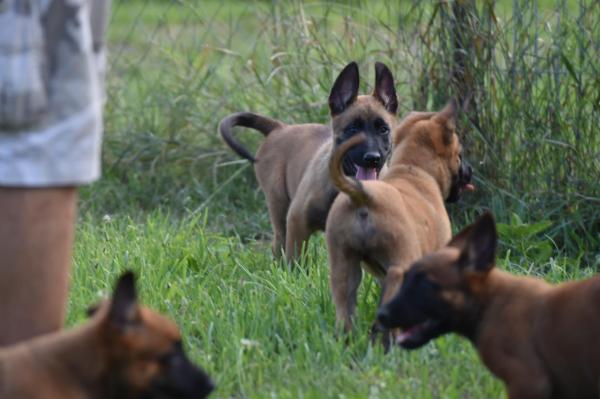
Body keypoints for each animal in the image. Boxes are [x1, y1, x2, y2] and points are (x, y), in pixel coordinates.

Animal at [220, 62, 398, 260]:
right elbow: (295, 260)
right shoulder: (297, 221)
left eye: (383, 129)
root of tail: (279, 128)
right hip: (279, 206)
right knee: (279, 244)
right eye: (352, 129)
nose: (372, 158)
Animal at [324, 101, 474, 332]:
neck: (413, 169)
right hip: (400, 265)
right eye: (460, 155)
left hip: (343, 269)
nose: (470, 170)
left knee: (344, 313)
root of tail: (364, 196)